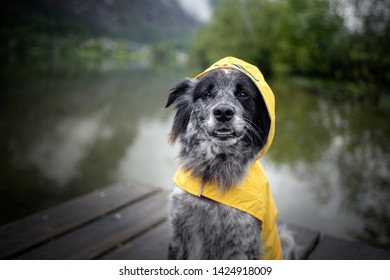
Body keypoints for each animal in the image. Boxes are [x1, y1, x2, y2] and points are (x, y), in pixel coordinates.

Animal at [165, 57, 292, 260]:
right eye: (207, 94)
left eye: (243, 94)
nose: (223, 112)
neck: (212, 172)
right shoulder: (178, 234)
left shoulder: (242, 245)